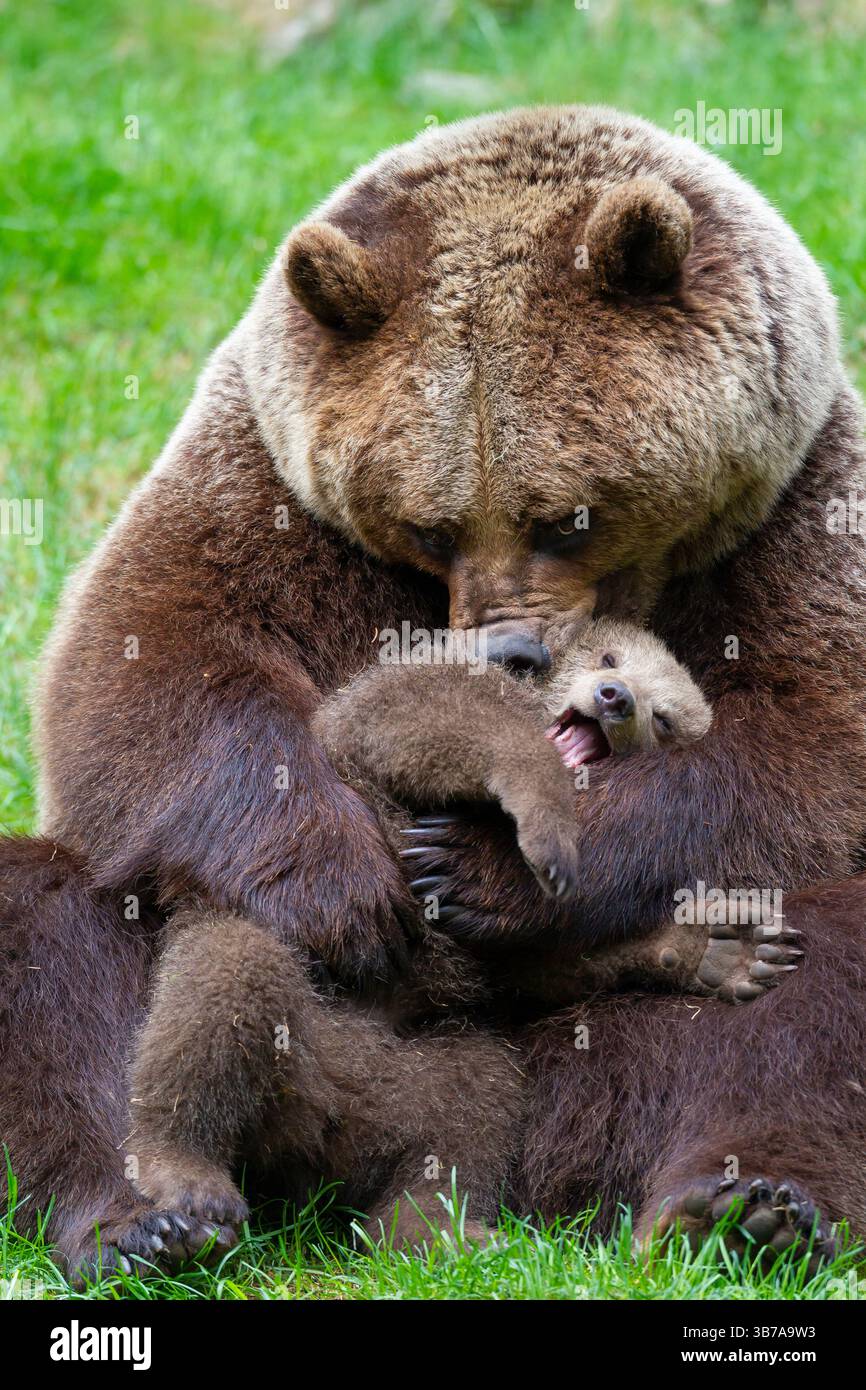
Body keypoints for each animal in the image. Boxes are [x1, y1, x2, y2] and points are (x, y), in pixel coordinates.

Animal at [1, 104, 865, 1279]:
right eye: (428, 523)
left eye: (569, 516)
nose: (508, 650)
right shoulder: (269, 490)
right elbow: (150, 658)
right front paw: (347, 886)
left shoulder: (799, 514)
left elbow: (806, 742)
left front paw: (490, 866)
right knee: (54, 936)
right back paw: (142, 1214)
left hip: (542, 1059)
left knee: (806, 981)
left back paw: (743, 1203)